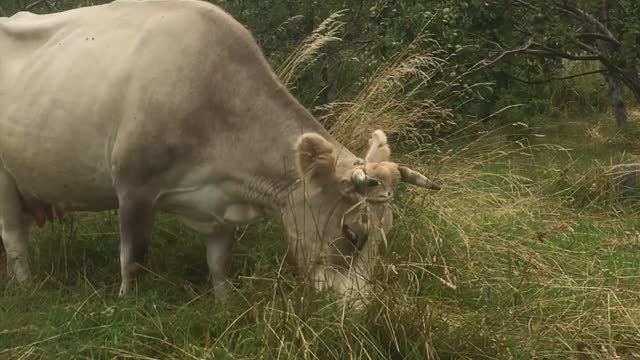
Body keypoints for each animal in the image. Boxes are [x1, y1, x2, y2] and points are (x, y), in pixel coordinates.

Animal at [0, 0, 440, 300]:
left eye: (387, 230)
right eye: (352, 233)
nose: (357, 312)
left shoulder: (222, 200)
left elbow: (219, 263)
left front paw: (225, 303)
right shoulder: (134, 187)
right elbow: (133, 260)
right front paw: (126, 304)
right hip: (4, 180)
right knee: (14, 238)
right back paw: (27, 288)